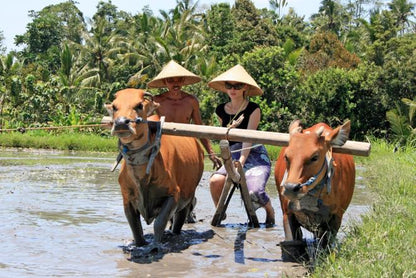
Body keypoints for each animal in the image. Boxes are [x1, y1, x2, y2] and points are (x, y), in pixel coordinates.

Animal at [105, 88, 203, 247]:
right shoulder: (127, 199)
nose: (121, 123)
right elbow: (136, 228)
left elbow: (159, 223)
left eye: (139, 105)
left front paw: (156, 246)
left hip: (188, 195)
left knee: (180, 220)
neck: (142, 178)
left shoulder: (174, 195)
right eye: (114, 107)